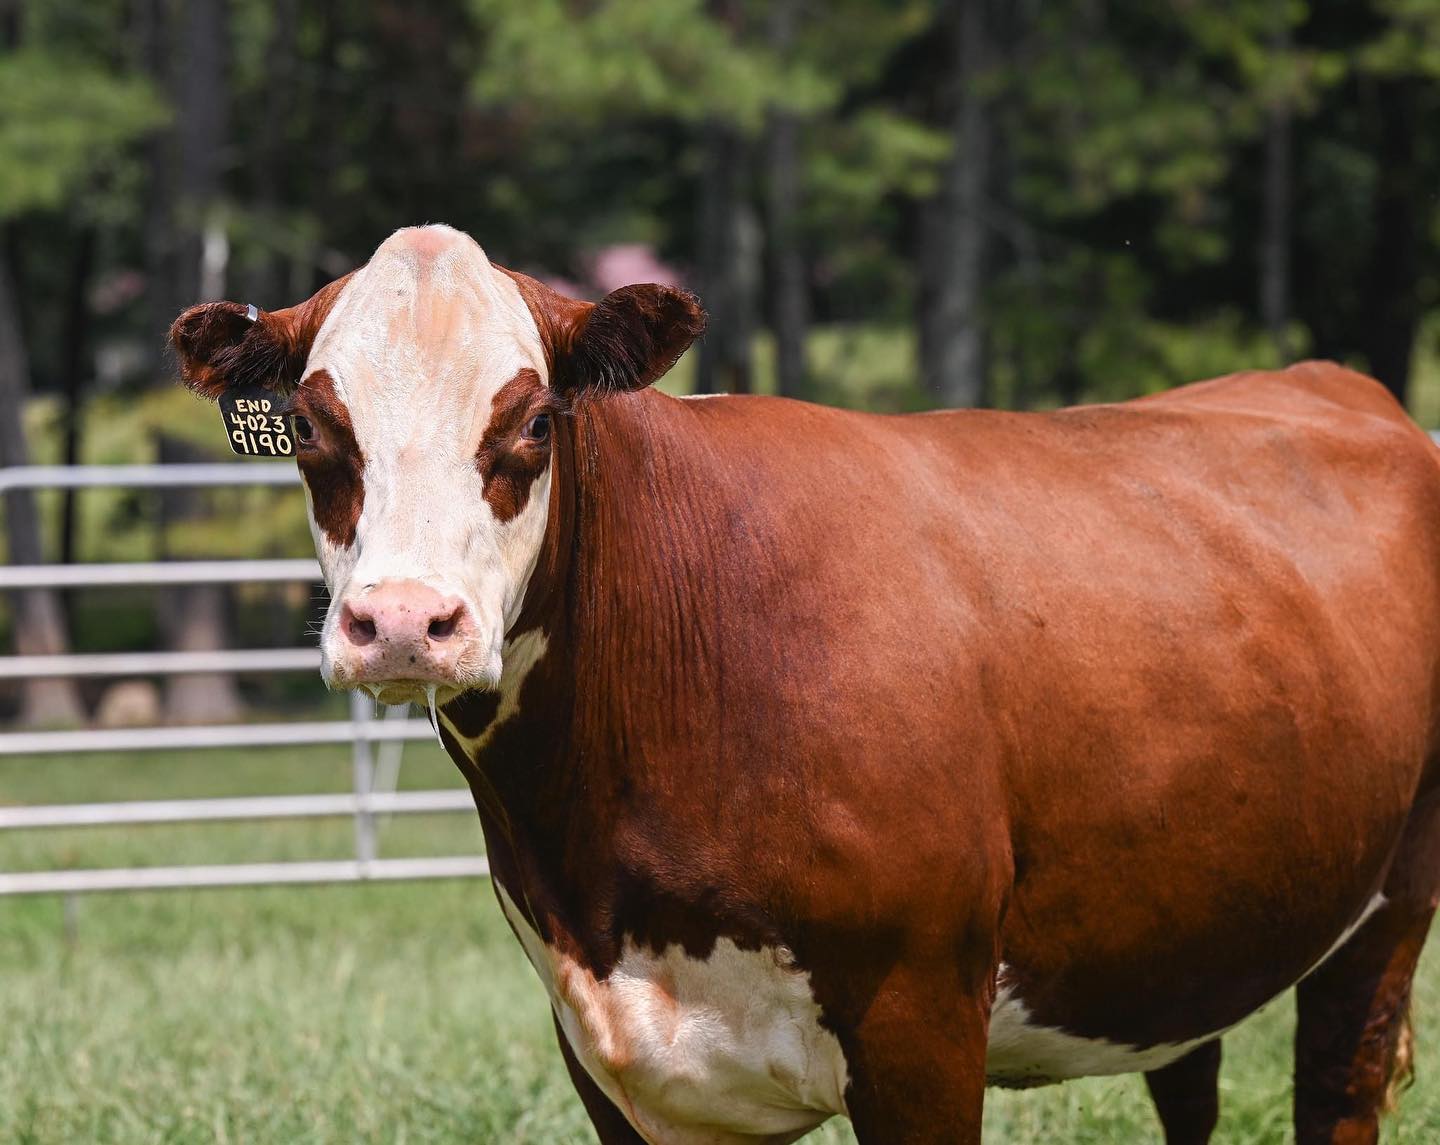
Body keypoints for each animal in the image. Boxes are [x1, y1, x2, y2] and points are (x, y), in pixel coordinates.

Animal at [170, 224, 1440, 1145]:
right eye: (312, 428)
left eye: (530, 421)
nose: (401, 622)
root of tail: (1343, 386)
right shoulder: (609, 1050)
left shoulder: (923, 1023)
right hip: (1184, 931)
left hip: (1387, 915)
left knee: (1339, 1080)